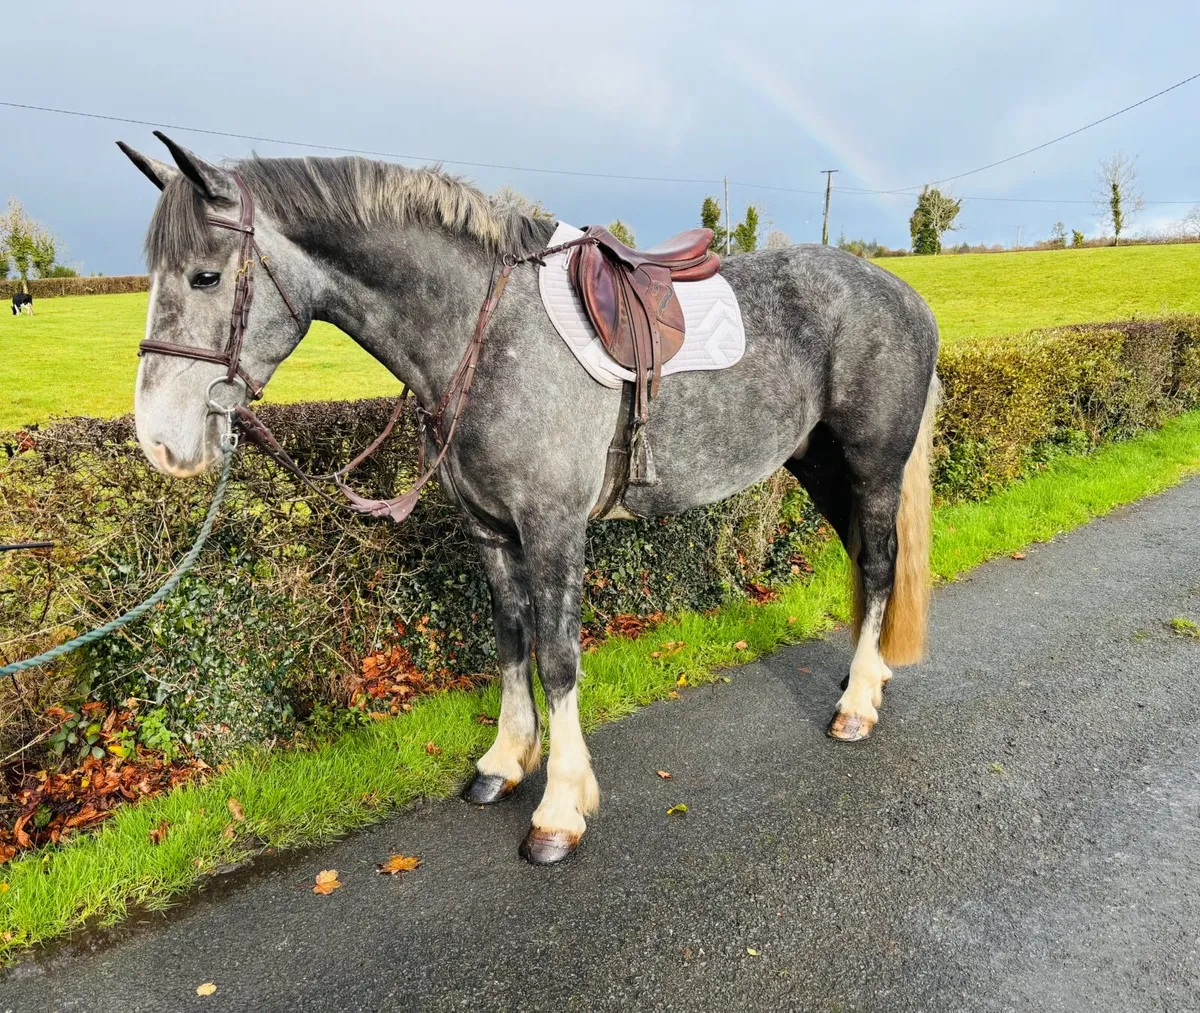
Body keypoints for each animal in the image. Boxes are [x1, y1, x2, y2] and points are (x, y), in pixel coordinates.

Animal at [118, 133, 939, 865]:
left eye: (204, 277)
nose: (160, 440)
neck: (482, 335)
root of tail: (903, 295)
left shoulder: (553, 529)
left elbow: (558, 658)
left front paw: (559, 810)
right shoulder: (489, 530)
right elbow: (511, 639)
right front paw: (505, 761)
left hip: (871, 469)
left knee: (879, 567)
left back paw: (856, 708)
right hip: (819, 469)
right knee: (865, 563)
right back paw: (864, 679)